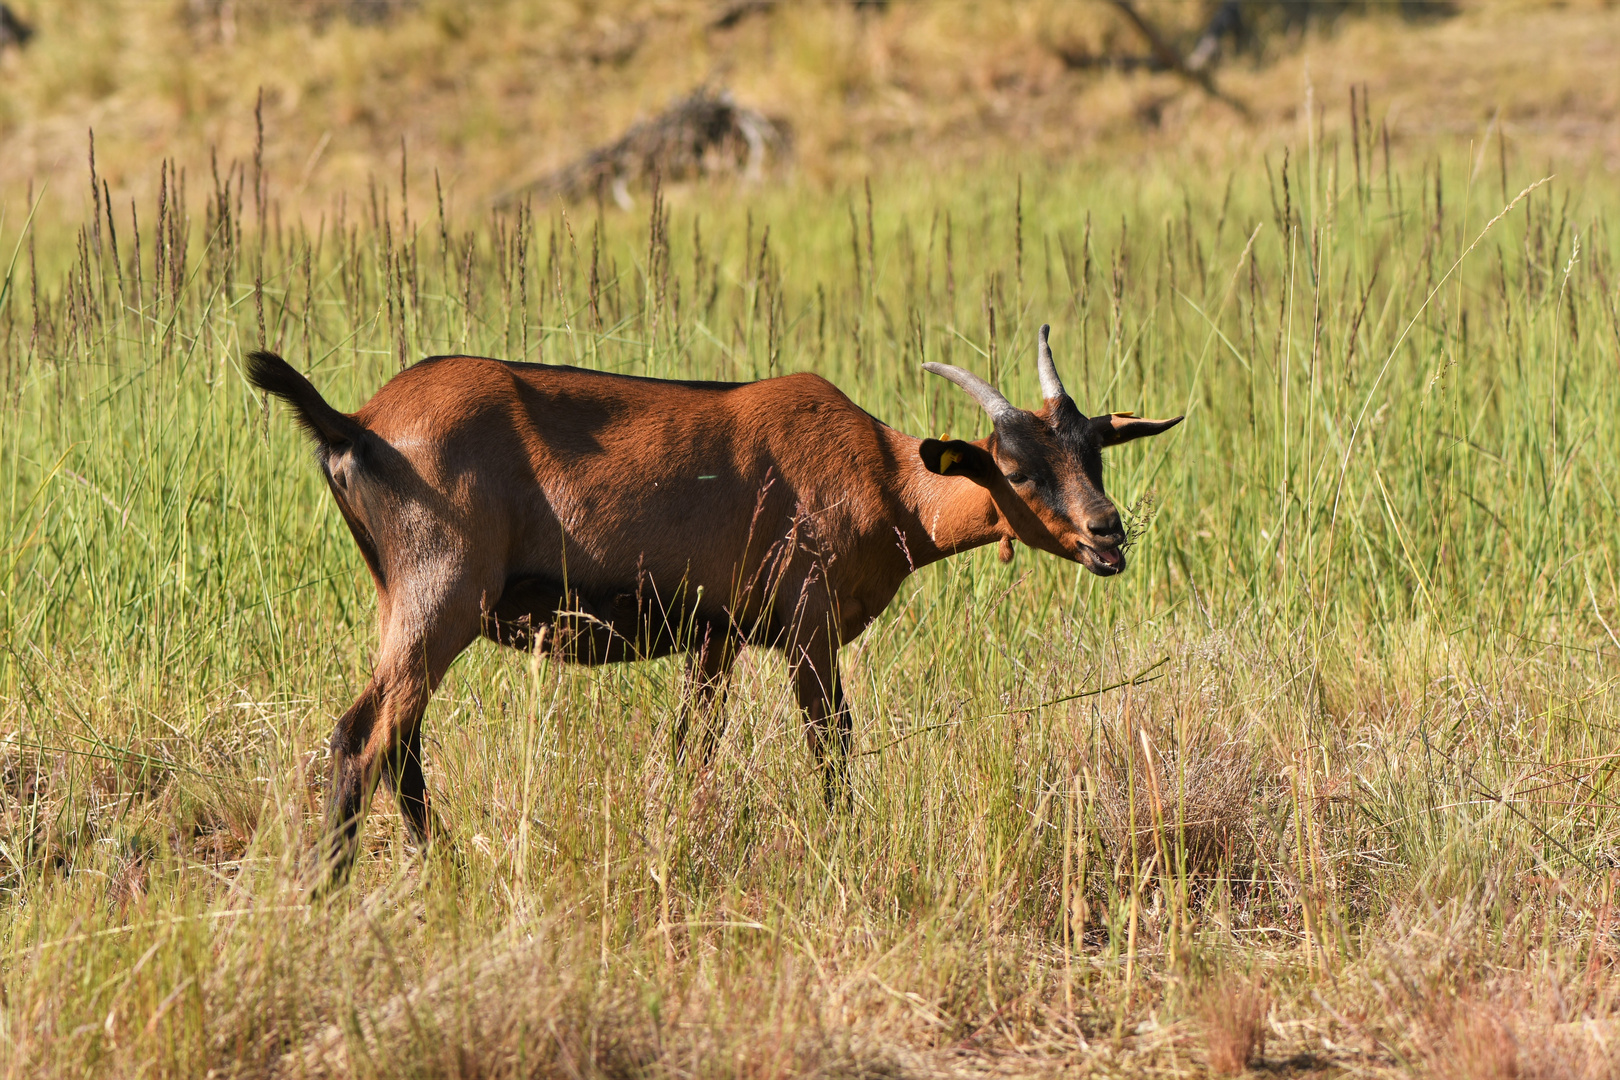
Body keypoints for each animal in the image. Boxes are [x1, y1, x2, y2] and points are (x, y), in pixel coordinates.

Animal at [246, 325, 1179, 893]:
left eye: (1095, 452)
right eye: (1015, 469)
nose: (1108, 534)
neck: (886, 478)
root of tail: (357, 423)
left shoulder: (716, 636)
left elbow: (693, 747)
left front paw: (678, 850)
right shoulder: (807, 629)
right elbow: (832, 746)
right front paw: (844, 852)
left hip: (409, 603)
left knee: (399, 740)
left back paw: (443, 875)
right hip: (441, 593)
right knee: (364, 733)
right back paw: (329, 892)